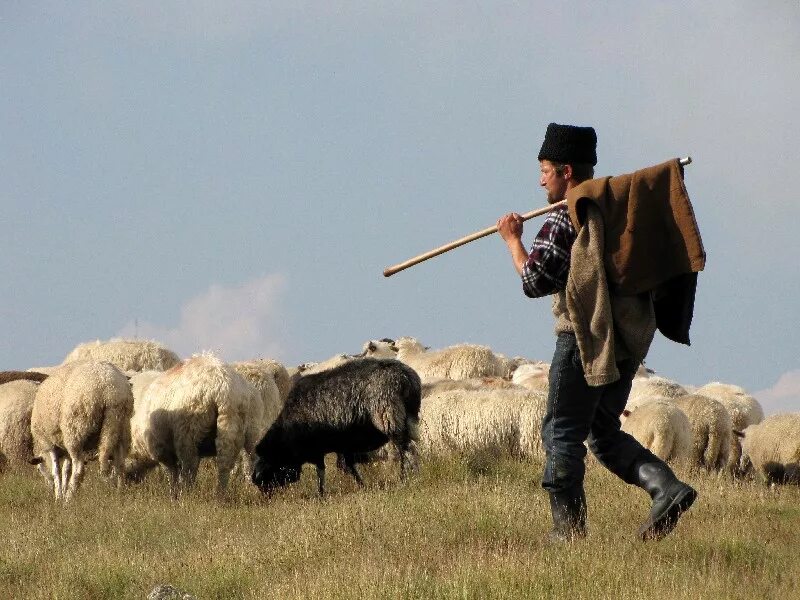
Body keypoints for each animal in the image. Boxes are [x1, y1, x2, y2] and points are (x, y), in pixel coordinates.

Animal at [30, 360, 134, 502]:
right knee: (120, 463)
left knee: (79, 468)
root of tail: (107, 387)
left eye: (39, 470)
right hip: (119, 424)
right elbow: (66, 470)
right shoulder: (63, 449)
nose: (48, 487)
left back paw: (69, 498)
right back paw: (120, 492)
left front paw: (59, 496)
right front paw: (63, 489)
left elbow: (56, 471)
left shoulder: (48, 443)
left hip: (75, 428)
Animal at [124, 352, 260, 496]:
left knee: (190, 466)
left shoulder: (160, 447)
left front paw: (173, 493)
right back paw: (236, 493)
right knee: (242, 461)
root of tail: (223, 385)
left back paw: (187, 494)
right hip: (246, 428)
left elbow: (171, 472)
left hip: (189, 431)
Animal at [253, 358, 422, 494]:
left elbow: (321, 471)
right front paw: (362, 486)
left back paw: (406, 478)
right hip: (409, 417)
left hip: (388, 416)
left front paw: (321, 494)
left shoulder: (316, 448)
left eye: (266, 472)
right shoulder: (343, 445)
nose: (268, 497)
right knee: (409, 448)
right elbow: (348, 466)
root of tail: (404, 376)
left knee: (406, 449)